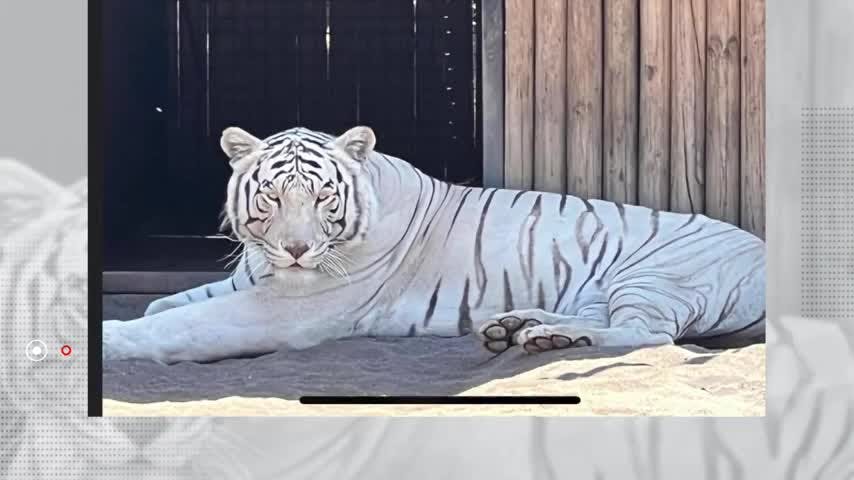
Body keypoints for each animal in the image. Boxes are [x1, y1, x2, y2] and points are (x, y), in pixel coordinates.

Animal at [102, 125, 765, 364]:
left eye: (322, 197)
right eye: (271, 197)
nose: (294, 251)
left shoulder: (285, 308)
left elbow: (175, 325)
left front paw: (109, 341)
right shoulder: (248, 280)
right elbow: (167, 303)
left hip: (653, 273)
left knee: (652, 334)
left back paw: (545, 338)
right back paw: (523, 327)